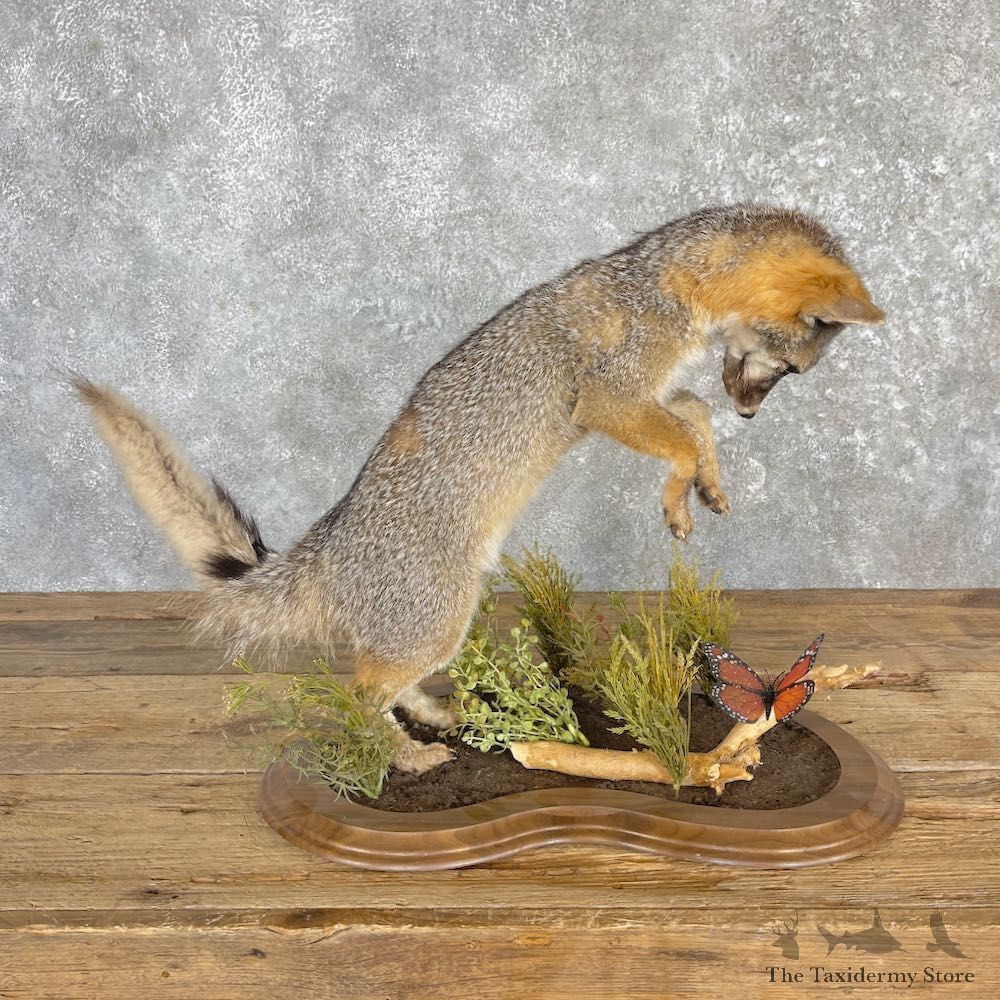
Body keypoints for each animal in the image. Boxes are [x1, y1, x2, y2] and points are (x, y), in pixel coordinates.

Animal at [72, 203, 884, 774]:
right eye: (790, 369)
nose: (752, 413)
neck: (662, 281)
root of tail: (329, 539)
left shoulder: (648, 396)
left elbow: (694, 419)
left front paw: (705, 485)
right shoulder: (607, 401)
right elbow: (684, 432)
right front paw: (679, 498)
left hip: (431, 629)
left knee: (374, 677)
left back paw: (430, 718)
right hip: (439, 620)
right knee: (353, 695)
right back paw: (405, 756)